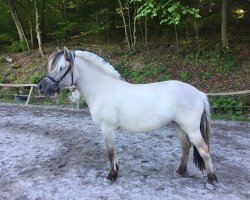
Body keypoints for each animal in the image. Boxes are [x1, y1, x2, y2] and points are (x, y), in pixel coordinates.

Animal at [36, 47, 217, 188]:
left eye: (61, 68)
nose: (41, 87)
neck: (103, 89)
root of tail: (199, 93)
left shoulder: (107, 128)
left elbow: (110, 152)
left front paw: (111, 176)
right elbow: (114, 152)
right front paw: (116, 170)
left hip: (191, 128)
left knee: (204, 149)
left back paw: (210, 181)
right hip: (178, 125)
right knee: (185, 147)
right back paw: (180, 172)